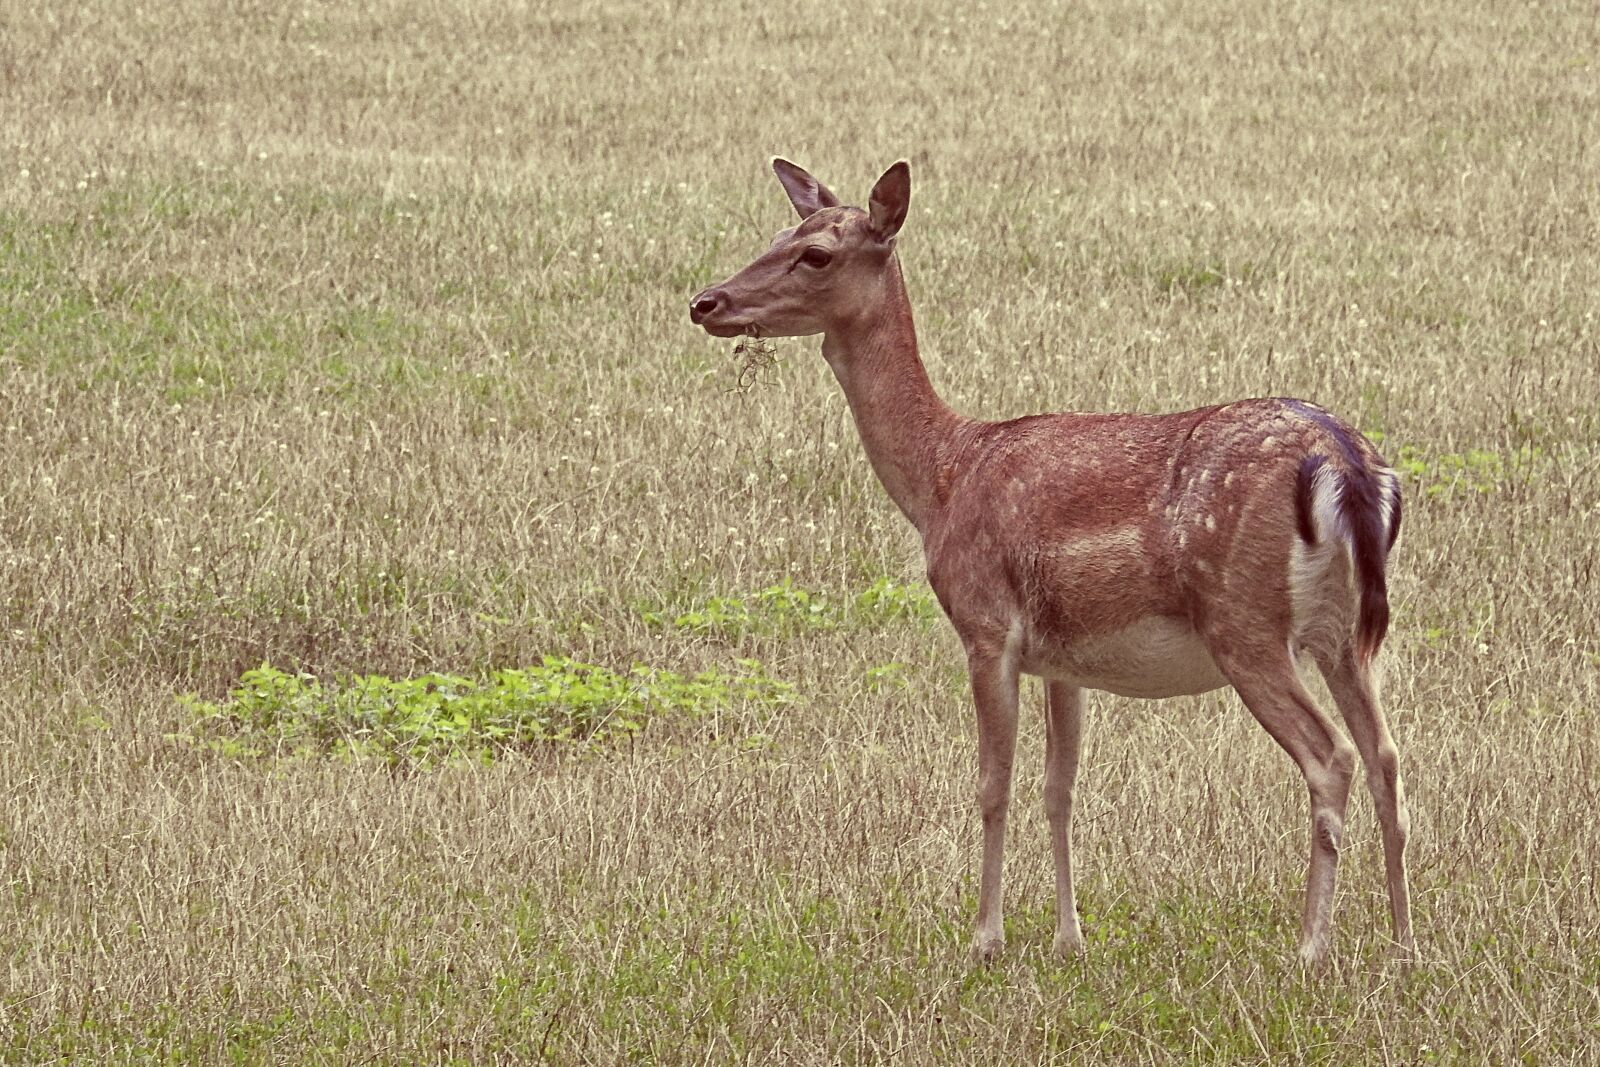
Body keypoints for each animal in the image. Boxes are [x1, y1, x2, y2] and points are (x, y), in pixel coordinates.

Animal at [687, 158, 1413, 969]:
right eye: (780, 232)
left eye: (816, 254)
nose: (705, 301)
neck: (942, 479)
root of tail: (1345, 464)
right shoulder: (1066, 659)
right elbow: (1059, 789)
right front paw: (1071, 938)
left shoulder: (985, 624)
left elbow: (992, 785)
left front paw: (985, 939)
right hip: (1346, 633)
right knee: (1386, 756)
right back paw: (1403, 943)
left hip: (1245, 621)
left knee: (1333, 756)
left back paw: (1311, 948)